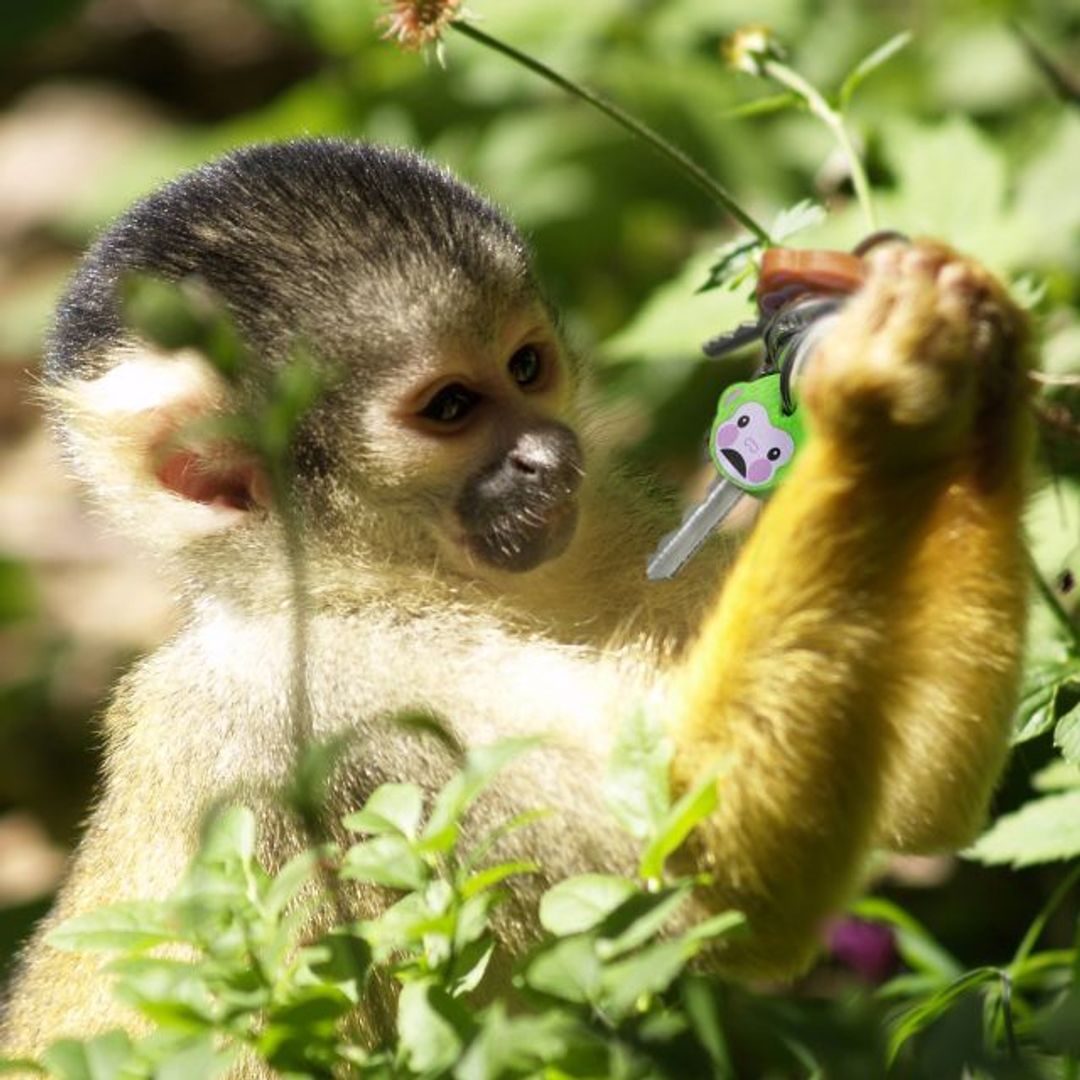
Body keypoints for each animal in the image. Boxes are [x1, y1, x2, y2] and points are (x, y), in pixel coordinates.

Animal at [1, 137, 1031, 1059]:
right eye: (451, 408)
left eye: (527, 367)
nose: (548, 455)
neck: (368, 579)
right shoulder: (332, 704)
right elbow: (707, 868)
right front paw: (879, 391)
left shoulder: (598, 522)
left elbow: (910, 808)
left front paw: (975, 333)